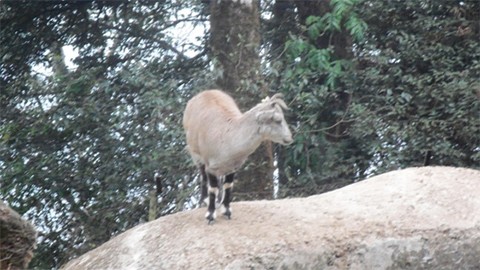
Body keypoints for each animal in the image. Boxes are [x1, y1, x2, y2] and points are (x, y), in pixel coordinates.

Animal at [182, 89, 292, 223]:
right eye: (277, 120)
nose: (289, 138)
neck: (226, 138)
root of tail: (204, 93)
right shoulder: (211, 167)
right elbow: (213, 188)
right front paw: (210, 215)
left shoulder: (231, 167)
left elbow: (228, 186)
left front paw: (227, 211)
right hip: (196, 154)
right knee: (203, 175)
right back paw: (205, 199)